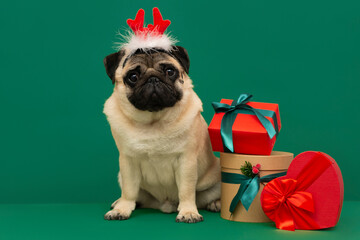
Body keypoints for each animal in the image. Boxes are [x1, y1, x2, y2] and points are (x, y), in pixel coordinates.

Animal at [102, 45, 221, 223]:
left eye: (170, 71)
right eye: (133, 77)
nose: (153, 78)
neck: (154, 122)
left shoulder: (186, 161)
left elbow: (186, 190)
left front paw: (188, 212)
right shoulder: (128, 162)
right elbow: (129, 190)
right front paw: (122, 209)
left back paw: (216, 203)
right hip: (122, 177)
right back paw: (120, 203)